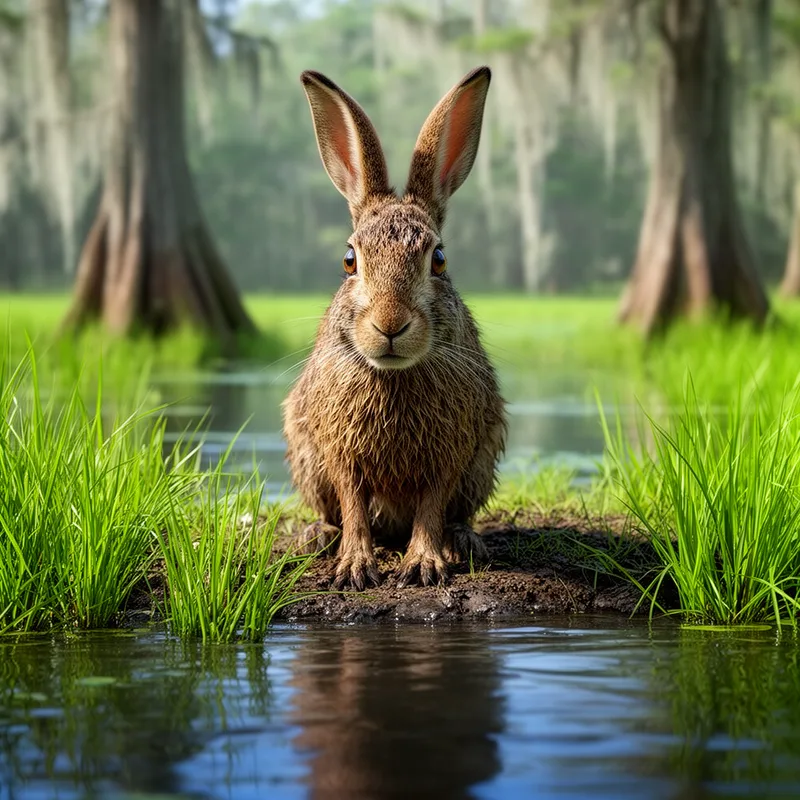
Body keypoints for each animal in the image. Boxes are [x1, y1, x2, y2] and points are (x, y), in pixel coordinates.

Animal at [282, 66, 506, 590]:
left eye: (439, 259)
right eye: (349, 260)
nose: (390, 325)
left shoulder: (448, 456)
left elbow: (430, 507)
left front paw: (423, 564)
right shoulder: (340, 453)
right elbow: (353, 505)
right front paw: (353, 568)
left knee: (455, 513)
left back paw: (463, 541)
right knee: (335, 513)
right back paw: (318, 537)